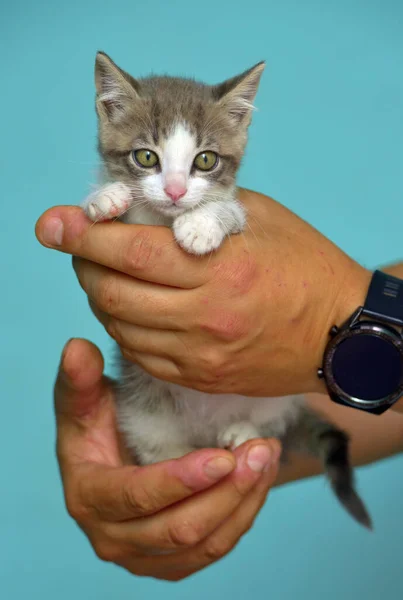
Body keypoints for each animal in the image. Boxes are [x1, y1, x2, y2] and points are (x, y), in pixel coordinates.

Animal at [82, 51, 372, 528]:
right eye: (146, 157)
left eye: (205, 161)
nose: (175, 191)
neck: (162, 220)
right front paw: (105, 197)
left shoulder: (238, 211)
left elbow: (227, 210)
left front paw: (200, 225)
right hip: (143, 415)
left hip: (277, 395)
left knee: (270, 425)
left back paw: (244, 431)